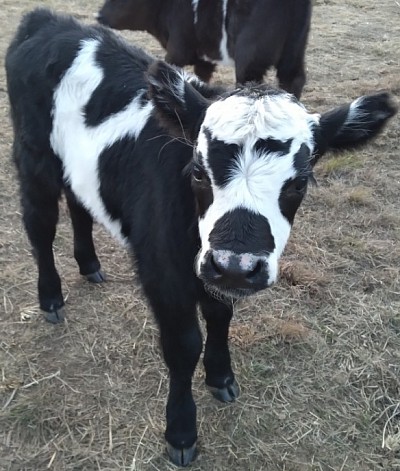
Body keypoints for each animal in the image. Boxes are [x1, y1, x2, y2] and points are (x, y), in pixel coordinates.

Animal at [97, 0, 312, 98]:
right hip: (293, 52)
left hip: (249, 57)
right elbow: (202, 76)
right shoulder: (205, 58)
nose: (99, 15)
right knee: (293, 79)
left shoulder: (177, 51)